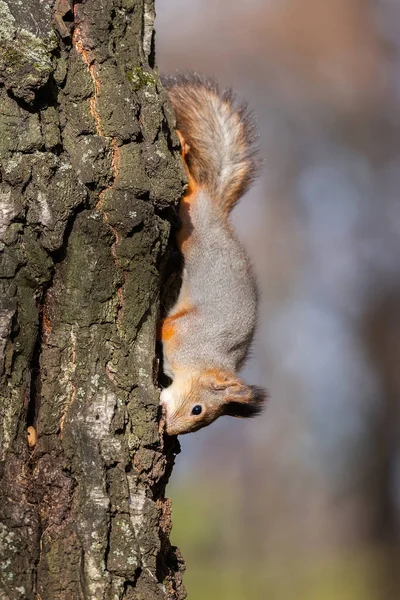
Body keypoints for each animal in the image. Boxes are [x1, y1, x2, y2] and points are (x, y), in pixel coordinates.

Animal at [159, 72, 266, 434]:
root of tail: (214, 205)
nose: (169, 430)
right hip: (190, 224)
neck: (204, 360)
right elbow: (165, 325)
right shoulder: (182, 333)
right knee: (189, 192)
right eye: (197, 409)